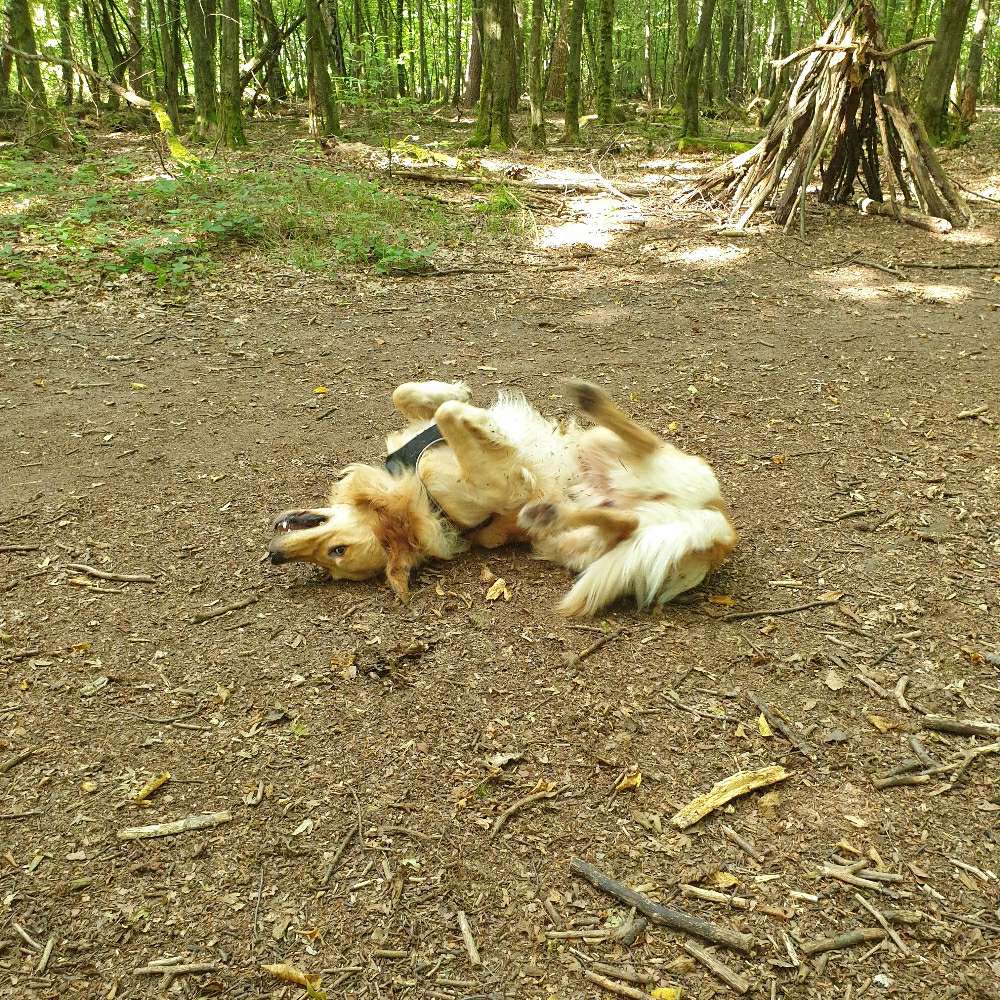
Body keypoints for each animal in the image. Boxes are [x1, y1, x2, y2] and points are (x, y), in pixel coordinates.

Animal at [266, 378, 736, 612]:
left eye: (336, 552)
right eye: (332, 565)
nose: (274, 555)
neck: (417, 498)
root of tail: (714, 526)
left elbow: (419, 399)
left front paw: (459, 395)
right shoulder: (501, 485)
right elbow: (449, 417)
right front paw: (482, 422)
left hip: (603, 450)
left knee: (638, 446)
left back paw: (589, 403)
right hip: (582, 543)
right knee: (625, 518)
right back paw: (549, 507)